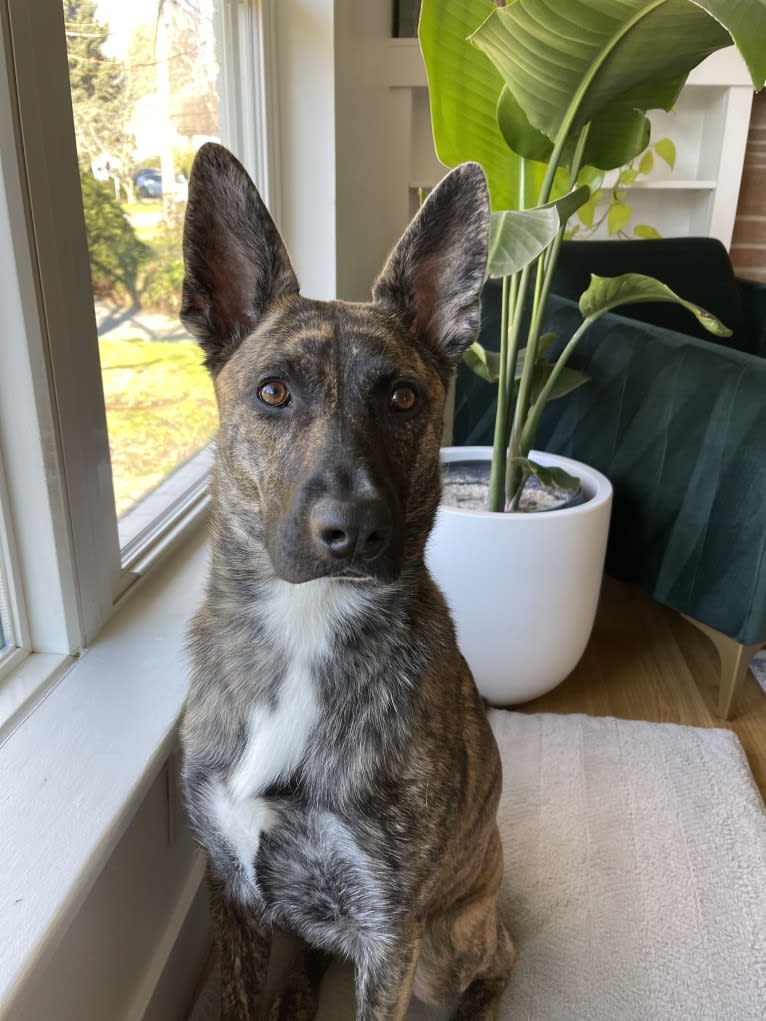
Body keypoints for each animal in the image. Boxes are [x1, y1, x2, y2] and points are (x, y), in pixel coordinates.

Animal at [179, 143, 516, 1021]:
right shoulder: (230, 888)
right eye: (273, 391)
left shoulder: (389, 936)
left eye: (401, 396)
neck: (305, 629)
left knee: (499, 958)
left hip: (444, 946)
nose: (355, 530)